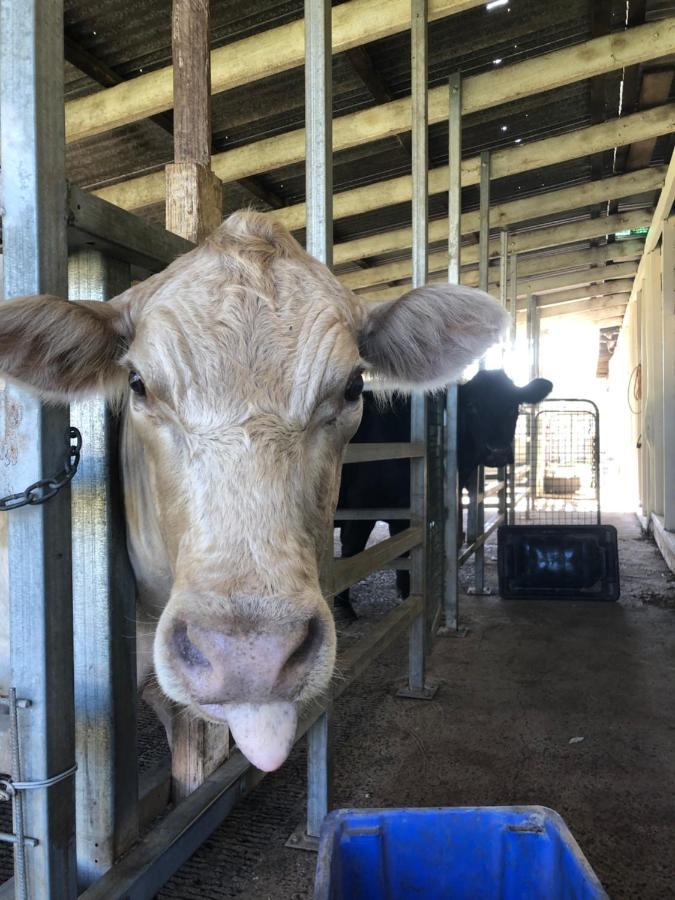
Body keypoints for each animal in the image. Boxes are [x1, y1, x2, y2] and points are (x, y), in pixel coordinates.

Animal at [338, 366, 556, 612]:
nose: (498, 451)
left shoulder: (404, 511)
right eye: (471, 405)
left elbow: (406, 551)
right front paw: (343, 607)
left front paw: (406, 595)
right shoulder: (360, 506)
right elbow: (351, 554)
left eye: (513, 406)